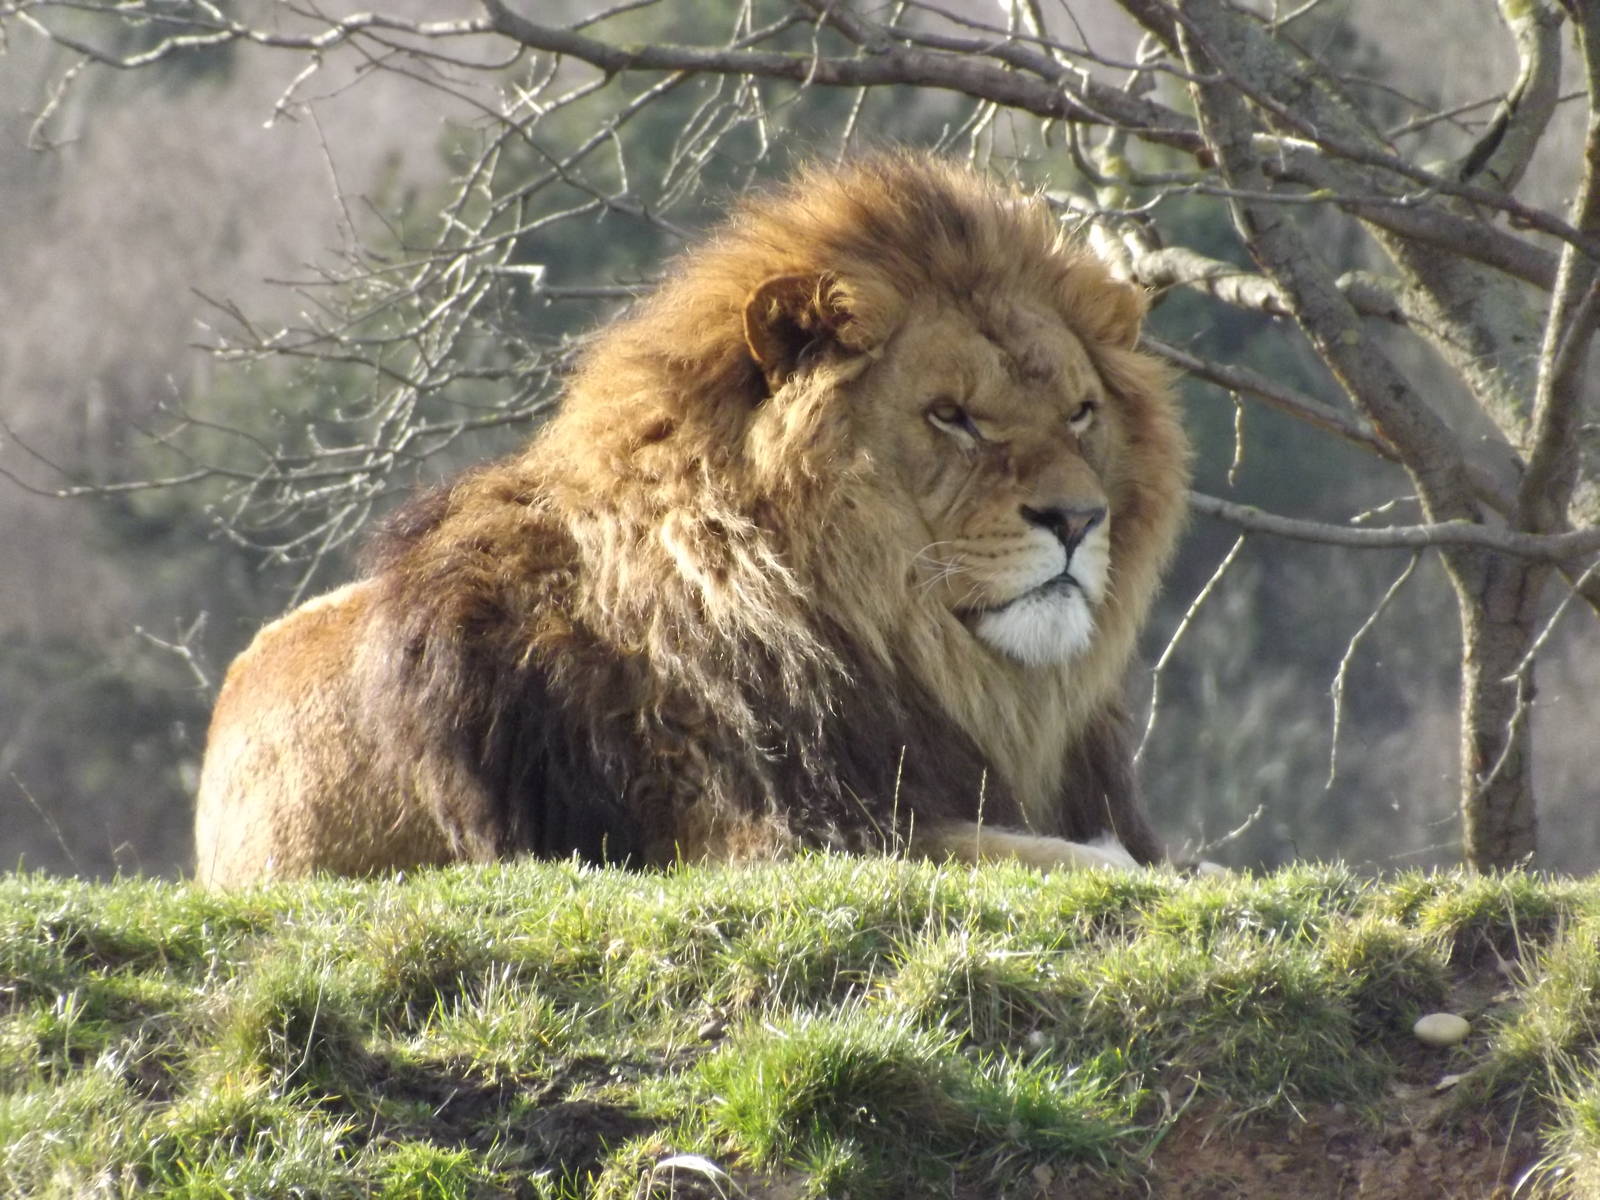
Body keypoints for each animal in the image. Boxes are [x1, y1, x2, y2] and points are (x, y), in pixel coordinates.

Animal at [193, 152, 1191, 888]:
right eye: (951, 415)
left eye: (1080, 413)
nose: (1079, 519)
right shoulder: (756, 835)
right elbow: (1053, 856)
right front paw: (1128, 865)